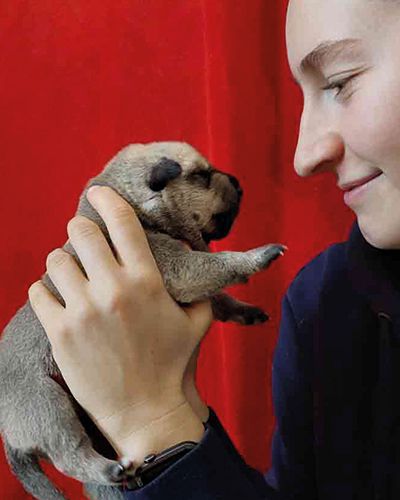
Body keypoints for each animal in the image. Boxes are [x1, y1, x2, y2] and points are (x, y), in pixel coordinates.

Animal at [0, 142, 288, 500]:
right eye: (203, 176)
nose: (239, 183)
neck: (132, 207)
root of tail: (9, 435)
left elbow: (218, 296)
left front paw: (243, 309)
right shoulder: (175, 265)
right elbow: (217, 265)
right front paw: (256, 256)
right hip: (46, 403)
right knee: (70, 453)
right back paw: (107, 468)